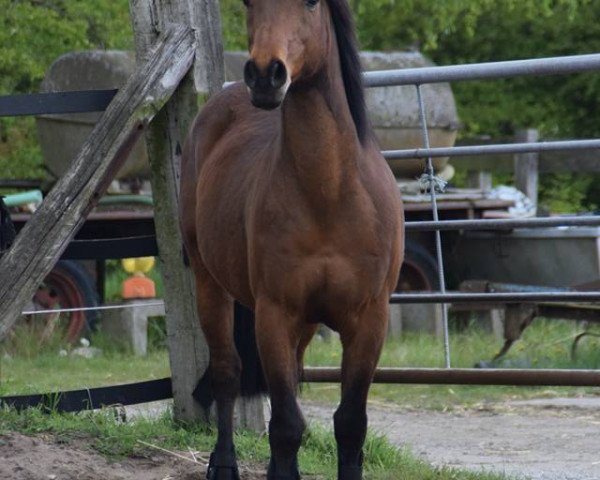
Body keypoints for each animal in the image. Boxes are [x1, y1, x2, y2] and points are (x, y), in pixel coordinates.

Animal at [179, 0, 404, 476]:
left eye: (311, 3)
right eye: (248, 3)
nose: (266, 74)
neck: (329, 191)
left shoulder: (369, 320)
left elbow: (350, 425)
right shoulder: (275, 315)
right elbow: (284, 426)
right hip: (210, 283)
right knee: (227, 371)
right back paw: (223, 463)